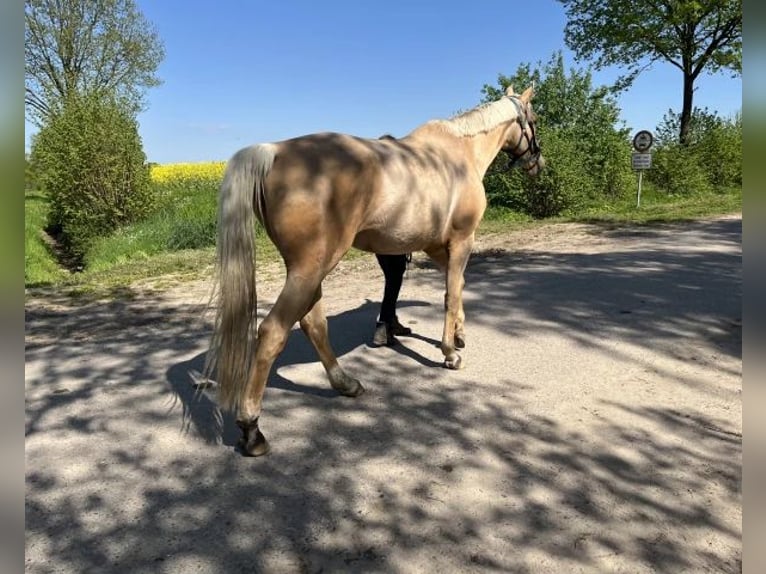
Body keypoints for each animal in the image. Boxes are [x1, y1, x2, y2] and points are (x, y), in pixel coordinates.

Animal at [204, 84, 540, 460]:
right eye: (534, 120)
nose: (537, 163)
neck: (459, 153)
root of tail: (273, 151)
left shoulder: (437, 247)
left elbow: (458, 286)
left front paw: (459, 333)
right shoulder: (461, 240)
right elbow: (451, 294)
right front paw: (450, 352)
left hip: (309, 270)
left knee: (313, 324)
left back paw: (346, 383)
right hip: (311, 268)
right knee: (273, 331)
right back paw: (252, 429)